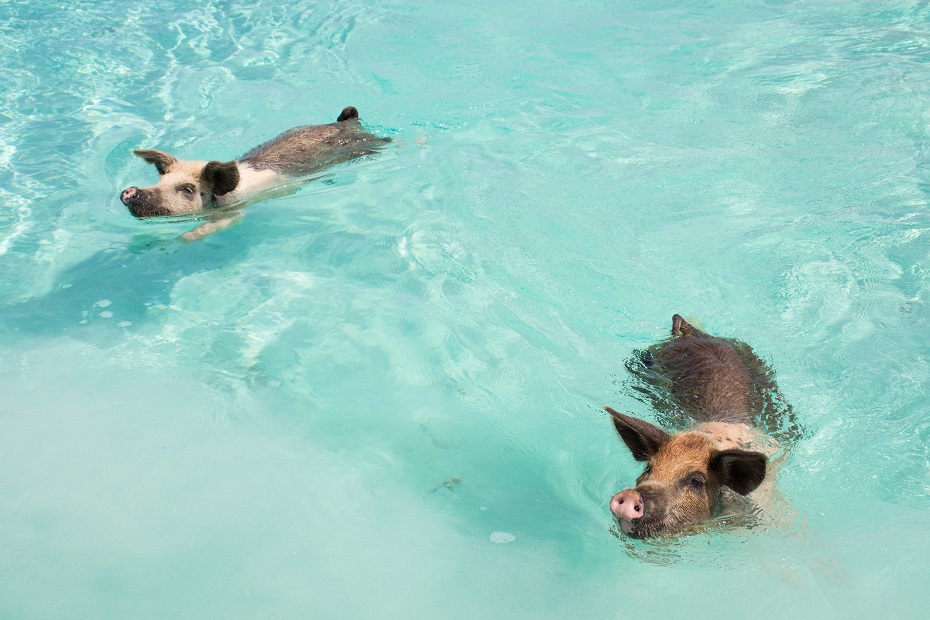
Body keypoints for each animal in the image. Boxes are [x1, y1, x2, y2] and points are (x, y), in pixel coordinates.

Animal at [120, 106, 389, 241]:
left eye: (188, 189)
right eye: (160, 179)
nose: (130, 191)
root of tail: (348, 121)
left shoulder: (235, 211)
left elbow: (218, 226)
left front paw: (178, 239)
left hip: (366, 146)